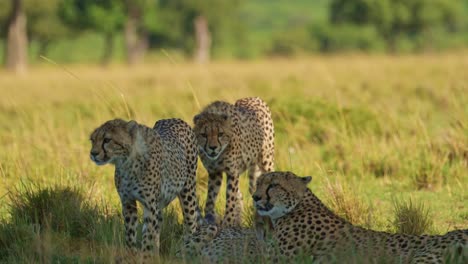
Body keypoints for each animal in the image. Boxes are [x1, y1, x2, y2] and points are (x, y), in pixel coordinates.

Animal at [90, 118, 201, 258]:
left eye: (107, 140)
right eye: (92, 140)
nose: (93, 153)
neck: (127, 162)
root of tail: (175, 119)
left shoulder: (150, 205)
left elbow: (148, 234)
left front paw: (145, 257)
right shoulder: (128, 202)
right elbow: (131, 232)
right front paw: (131, 254)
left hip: (188, 192)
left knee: (191, 223)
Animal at [193, 97, 274, 227]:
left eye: (220, 134)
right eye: (204, 135)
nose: (213, 148)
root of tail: (254, 98)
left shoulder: (232, 172)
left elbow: (230, 199)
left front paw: (228, 222)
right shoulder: (214, 172)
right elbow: (211, 197)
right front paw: (210, 217)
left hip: (266, 161)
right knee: (243, 193)